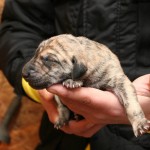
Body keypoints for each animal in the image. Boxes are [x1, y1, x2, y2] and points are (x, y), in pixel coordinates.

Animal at [22, 34, 150, 137]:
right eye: (35, 54)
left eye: (49, 60)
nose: (23, 73)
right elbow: (61, 106)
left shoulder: (119, 80)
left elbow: (131, 104)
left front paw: (140, 123)